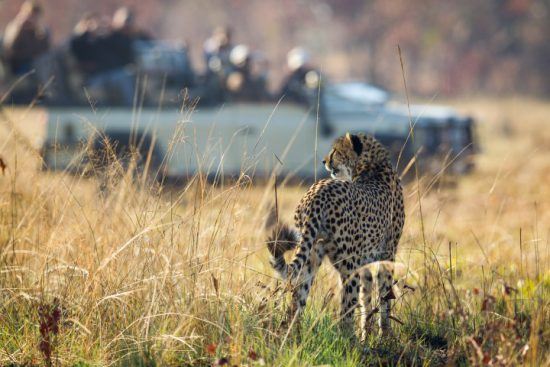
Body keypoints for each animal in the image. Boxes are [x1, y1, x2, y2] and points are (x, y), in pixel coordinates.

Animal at [268, 132, 406, 340]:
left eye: (336, 151)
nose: (324, 161)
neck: (369, 165)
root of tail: (317, 192)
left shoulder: (366, 258)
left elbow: (367, 297)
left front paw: (367, 334)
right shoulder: (387, 253)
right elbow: (384, 295)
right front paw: (384, 336)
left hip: (311, 255)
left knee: (297, 300)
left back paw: (292, 337)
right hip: (348, 265)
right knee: (345, 310)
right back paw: (350, 341)